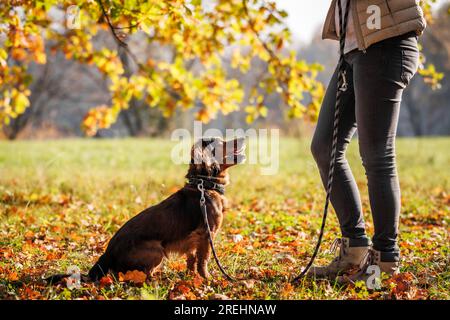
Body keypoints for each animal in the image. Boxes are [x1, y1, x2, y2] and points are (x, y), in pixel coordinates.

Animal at [87, 136, 246, 278]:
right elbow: (204, 259)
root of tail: (107, 254)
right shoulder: (207, 233)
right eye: (220, 142)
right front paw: (207, 278)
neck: (205, 185)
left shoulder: (193, 238)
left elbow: (192, 258)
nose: (244, 138)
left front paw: (191, 276)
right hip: (157, 250)